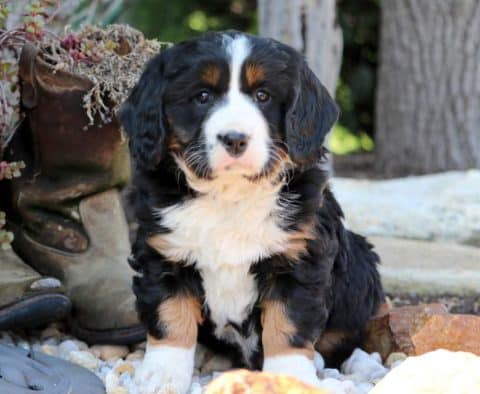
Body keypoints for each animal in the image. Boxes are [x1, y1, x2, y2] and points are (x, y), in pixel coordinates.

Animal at [120, 30, 382, 390]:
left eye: (263, 95)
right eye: (202, 96)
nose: (235, 139)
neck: (230, 196)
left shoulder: (299, 257)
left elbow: (288, 322)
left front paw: (289, 375)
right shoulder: (163, 252)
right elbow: (170, 315)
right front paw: (162, 374)